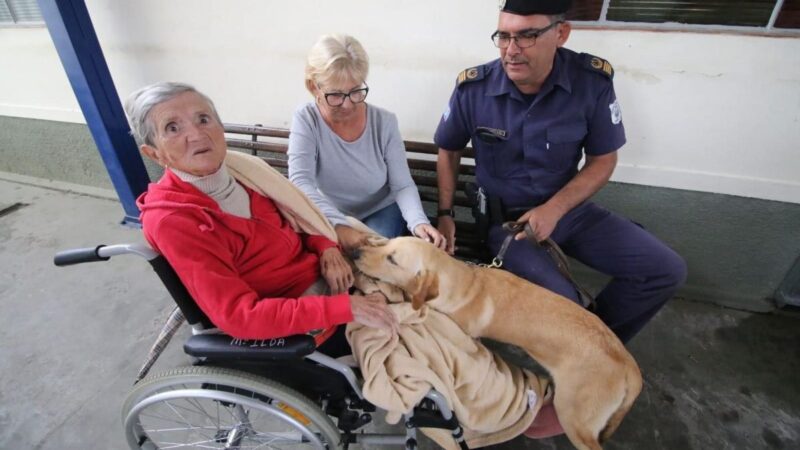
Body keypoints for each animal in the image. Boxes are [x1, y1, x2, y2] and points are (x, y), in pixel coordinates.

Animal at [354, 236, 644, 450]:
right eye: (387, 245)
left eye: (392, 258)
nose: (355, 253)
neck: (465, 283)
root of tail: (630, 366)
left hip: (574, 417)